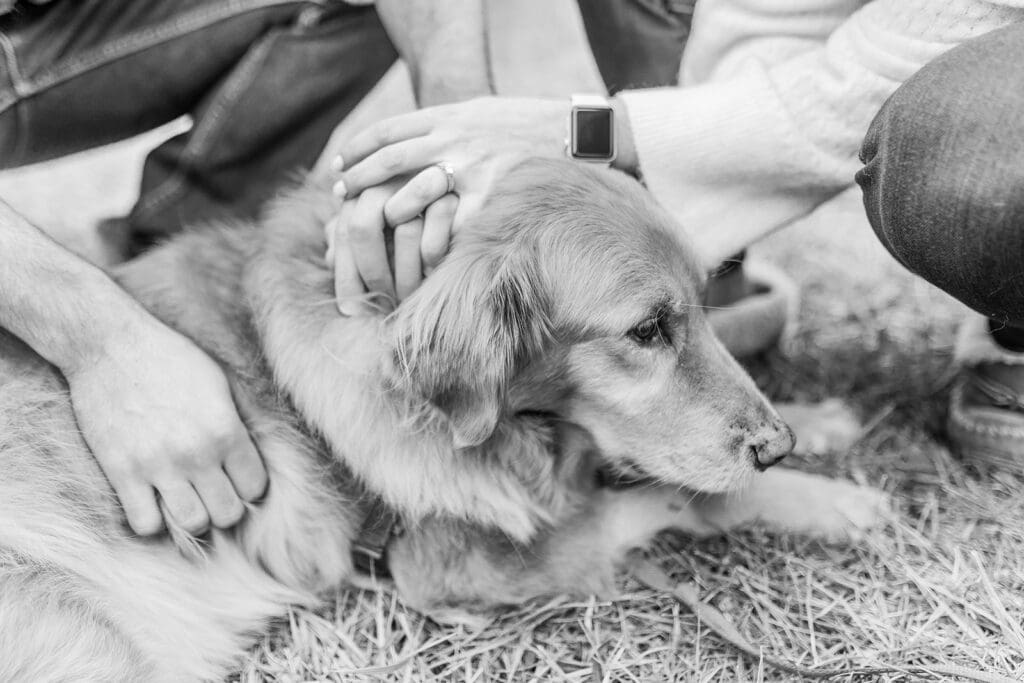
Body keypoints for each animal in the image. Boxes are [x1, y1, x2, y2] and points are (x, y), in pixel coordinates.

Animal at [0, 158, 884, 679]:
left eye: (701, 303)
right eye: (646, 331)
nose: (778, 443)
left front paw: (822, 424)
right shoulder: (453, 563)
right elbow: (687, 495)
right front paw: (834, 499)